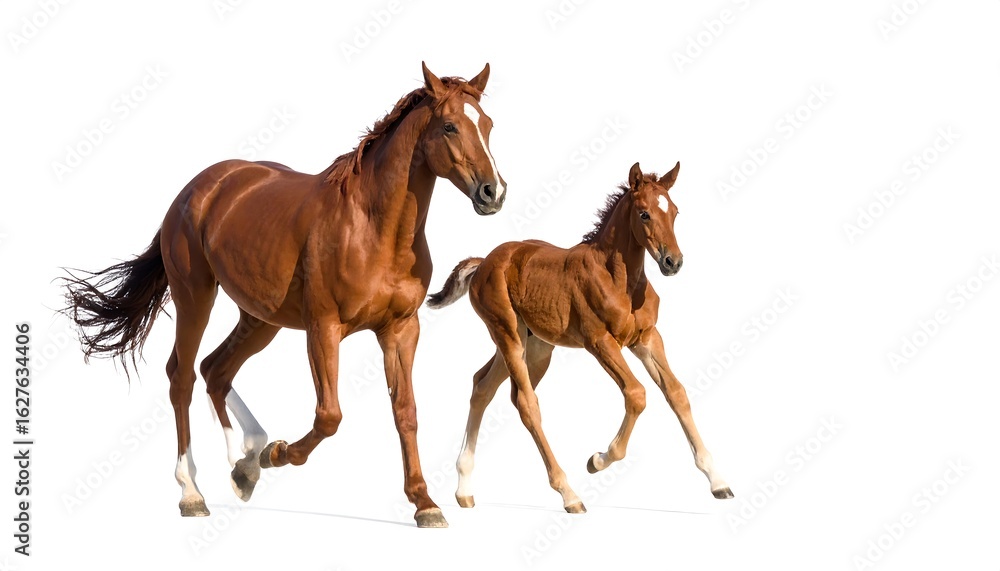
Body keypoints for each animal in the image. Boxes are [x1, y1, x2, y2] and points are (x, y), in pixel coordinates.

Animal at [60, 62, 506, 528]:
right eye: (450, 126)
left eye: (488, 124)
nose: (493, 192)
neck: (372, 228)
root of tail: (196, 189)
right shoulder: (323, 328)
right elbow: (329, 416)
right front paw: (277, 454)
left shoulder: (400, 330)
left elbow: (406, 412)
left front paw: (424, 502)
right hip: (194, 297)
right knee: (182, 376)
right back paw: (194, 491)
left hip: (260, 319)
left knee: (215, 370)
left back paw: (243, 464)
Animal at [426, 161, 733, 512]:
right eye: (644, 214)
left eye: (675, 212)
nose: (673, 262)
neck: (619, 280)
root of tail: (482, 263)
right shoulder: (599, 342)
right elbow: (637, 394)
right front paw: (598, 459)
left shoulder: (646, 339)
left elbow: (677, 392)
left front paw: (718, 481)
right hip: (507, 334)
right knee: (526, 403)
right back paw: (569, 494)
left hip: (535, 345)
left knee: (483, 386)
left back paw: (464, 489)